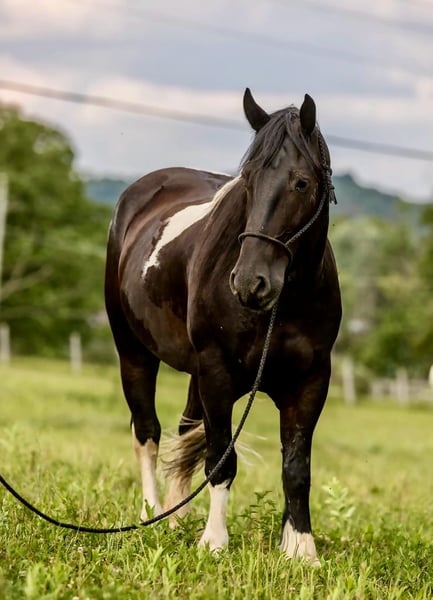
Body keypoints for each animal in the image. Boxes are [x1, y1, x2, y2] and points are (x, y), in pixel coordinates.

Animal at [104, 88, 342, 565]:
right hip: (134, 353)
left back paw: (176, 519)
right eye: (247, 181)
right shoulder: (217, 372)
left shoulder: (311, 381)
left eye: (301, 183)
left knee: (181, 432)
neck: (282, 305)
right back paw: (152, 514)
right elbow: (219, 458)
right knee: (148, 432)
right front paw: (214, 541)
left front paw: (300, 549)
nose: (250, 282)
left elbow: (296, 468)